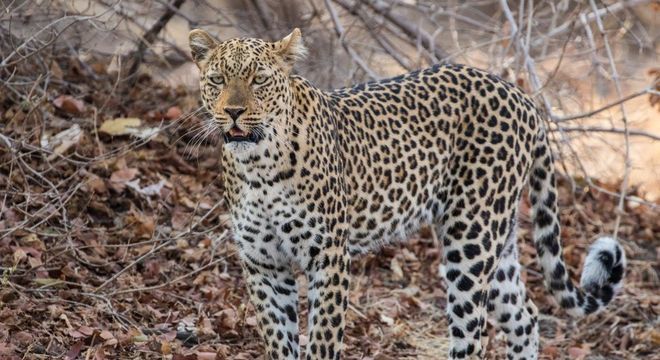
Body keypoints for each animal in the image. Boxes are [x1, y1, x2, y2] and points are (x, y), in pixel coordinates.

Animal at [188, 28, 628, 360]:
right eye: (217, 80)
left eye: (259, 79)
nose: (233, 112)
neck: (257, 166)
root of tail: (521, 96)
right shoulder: (263, 264)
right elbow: (280, 341)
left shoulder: (328, 259)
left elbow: (323, 340)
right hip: (497, 239)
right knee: (524, 317)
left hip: (470, 239)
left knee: (473, 335)